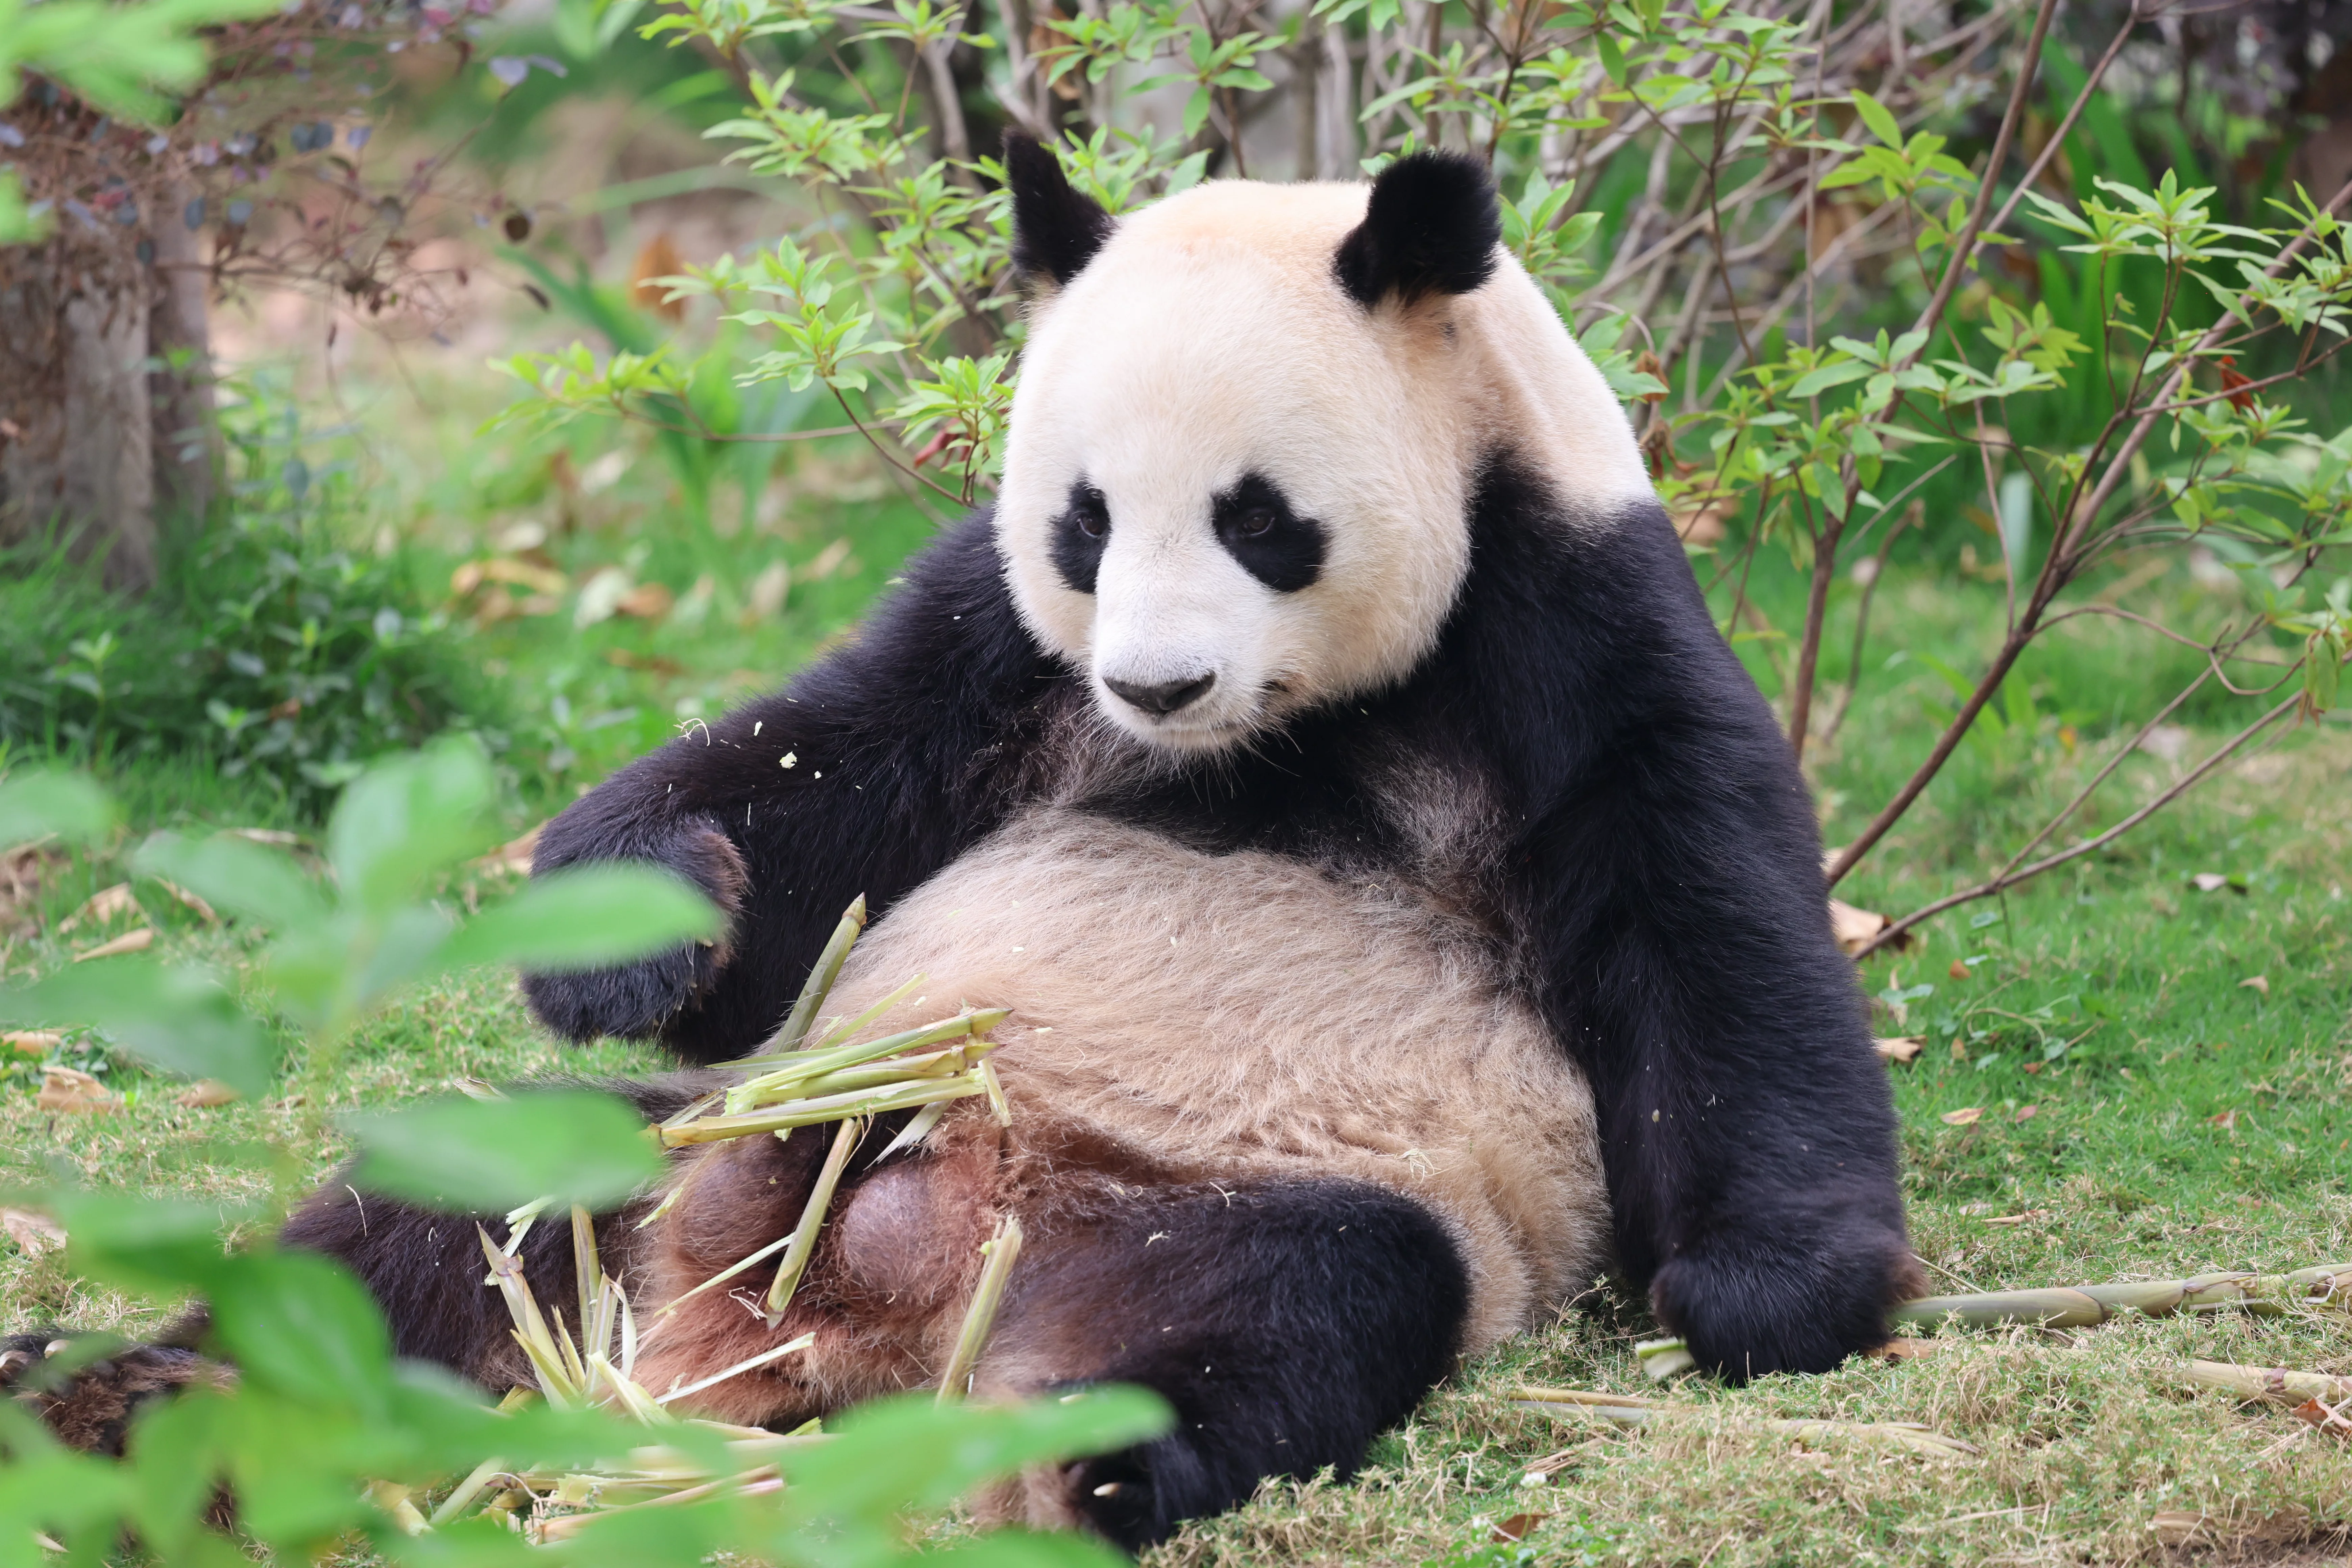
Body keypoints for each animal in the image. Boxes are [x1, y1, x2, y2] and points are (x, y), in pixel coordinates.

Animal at [5, 140, 1916, 1551]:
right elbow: (820, 776)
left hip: (1237, 1199)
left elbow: (1708, 920)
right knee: (425, 1219)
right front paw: (635, 931)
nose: (1155, 681)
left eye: (1259, 519)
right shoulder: (993, 649)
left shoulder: (1569, 611)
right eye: (1084, 521)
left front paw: (1772, 1290)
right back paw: (117, 1402)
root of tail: (843, 1312)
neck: (1274, 729)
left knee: (1305, 1300)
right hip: (671, 1159)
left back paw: (1094, 1464)